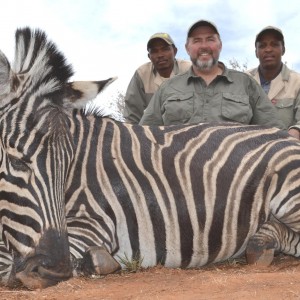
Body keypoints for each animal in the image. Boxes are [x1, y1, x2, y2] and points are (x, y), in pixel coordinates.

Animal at [1, 27, 300, 290]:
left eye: (67, 165)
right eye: (17, 162)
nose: (52, 270)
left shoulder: (95, 222)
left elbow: (7, 269)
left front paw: (95, 262)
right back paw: (260, 244)